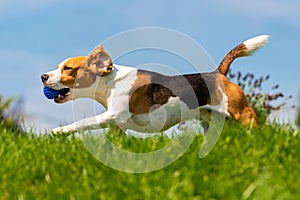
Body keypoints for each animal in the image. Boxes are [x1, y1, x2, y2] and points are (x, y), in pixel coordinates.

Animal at [41, 35, 268, 134]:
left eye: (68, 68)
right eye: (58, 66)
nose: (43, 76)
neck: (110, 81)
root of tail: (218, 73)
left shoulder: (112, 115)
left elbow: (84, 122)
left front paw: (60, 131)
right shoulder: (115, 123)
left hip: (243, 114)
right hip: (212, 121)